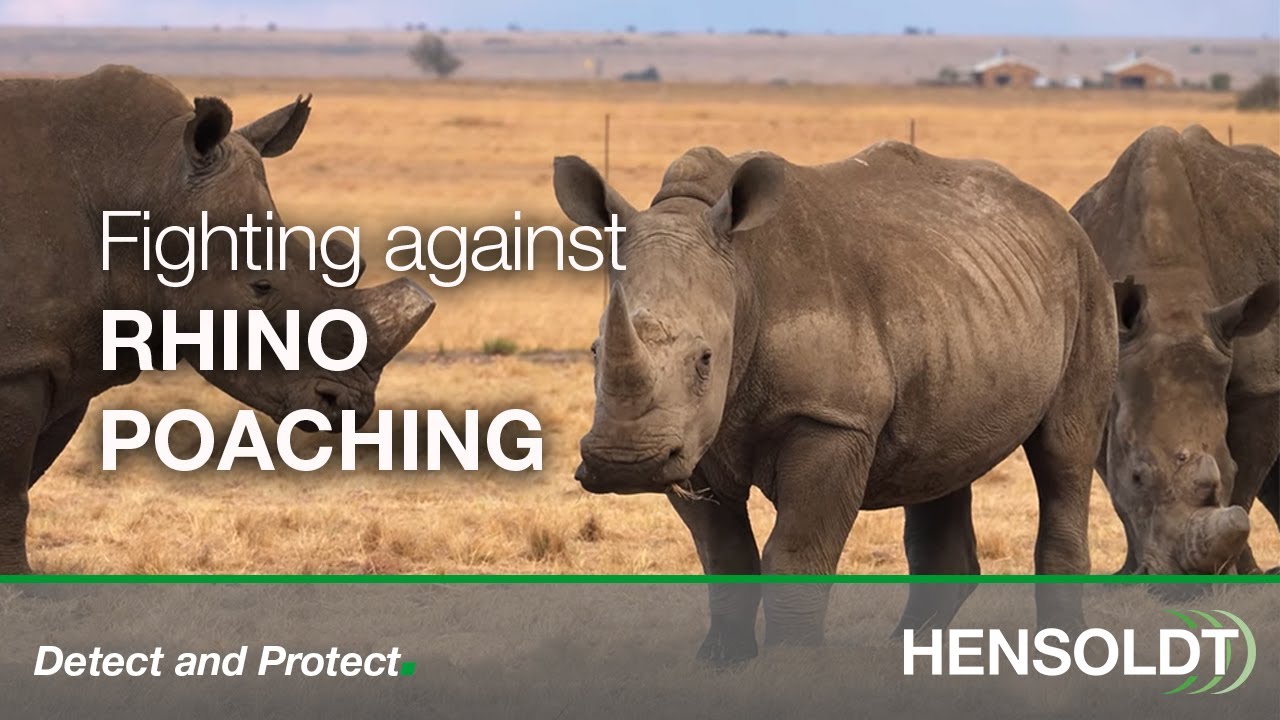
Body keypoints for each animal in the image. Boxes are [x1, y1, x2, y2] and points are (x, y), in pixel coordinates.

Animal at [0, 65, 435, 573]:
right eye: (260, 288)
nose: (350, 405)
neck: (144, 181)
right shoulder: (20, 360)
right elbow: (11, 492)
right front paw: (18, 583)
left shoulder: (66, 357)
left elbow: (26, 479)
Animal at [555, 142, 1117, 662]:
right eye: (595, 351)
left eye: (706, 359)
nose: (625, 462)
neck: (742, 276)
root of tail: (1056, 211)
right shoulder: (691, 440)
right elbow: (723, 554)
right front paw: (722, 660)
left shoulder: (831, 420)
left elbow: (796, 551)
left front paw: (791, 664)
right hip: (961, 298)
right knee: (941, 461)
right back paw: (909, 656)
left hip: (1088, 278)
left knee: (1063, 454)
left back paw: (1060, 651)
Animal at [1071, 125, 1279, 575]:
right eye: (1138, 476)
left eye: (1226, 470)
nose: (1184, 577)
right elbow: (1115, 484)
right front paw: (1132, 572)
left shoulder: (1261, 382)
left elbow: (1246, 484)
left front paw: (1242, 575)